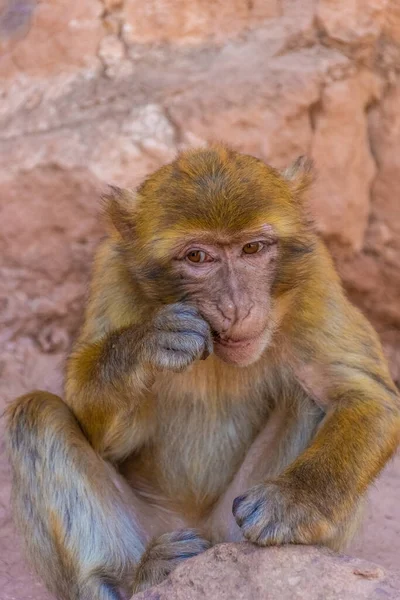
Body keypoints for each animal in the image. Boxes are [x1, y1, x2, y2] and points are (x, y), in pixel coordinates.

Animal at [5, 146, 400, 600]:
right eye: (197, 256)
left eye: (252, 248)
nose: (236, 307)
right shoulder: (112, 273)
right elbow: (99, 434)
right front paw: (148, 344)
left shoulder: (316, 275)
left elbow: (365, 395)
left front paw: (293, 501)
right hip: (155, 528)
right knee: (36, 415)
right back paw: (136, 577)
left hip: (228, 530)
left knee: (312, 396)